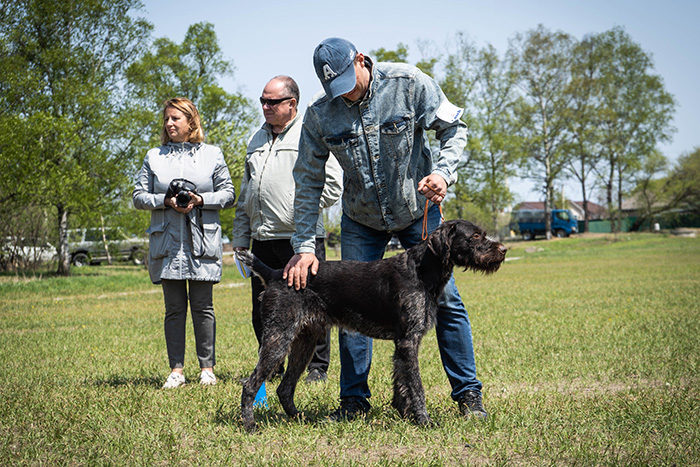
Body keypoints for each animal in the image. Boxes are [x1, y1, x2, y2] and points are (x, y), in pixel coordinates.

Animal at [238, 221, 506, 434]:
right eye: (475, 236)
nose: (503, 250)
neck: (421, 270)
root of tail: (275, 274)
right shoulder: (409, 341)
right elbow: (416, 386)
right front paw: (424, 420)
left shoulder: (403, 343)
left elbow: (401, 382)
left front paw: (405, 415)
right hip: (278, 339)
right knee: (251, 384)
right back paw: (250, 426)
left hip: (304, 342)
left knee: (284, 388)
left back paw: (300, 418)